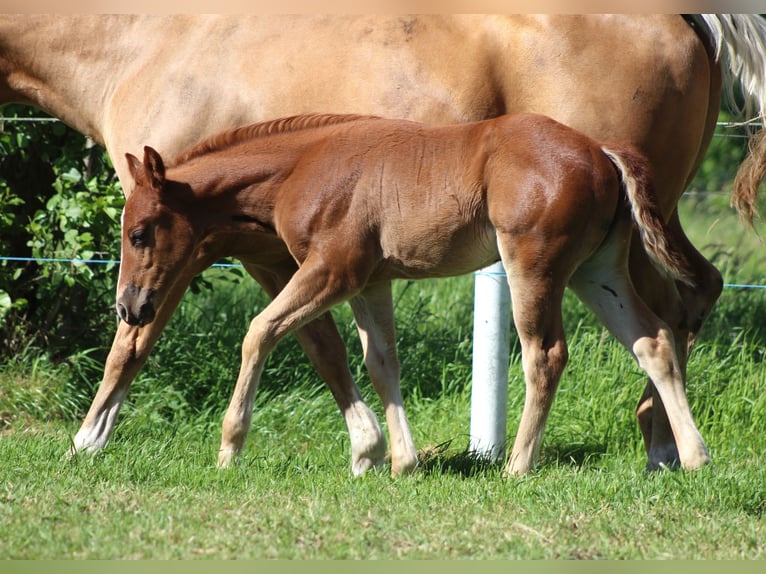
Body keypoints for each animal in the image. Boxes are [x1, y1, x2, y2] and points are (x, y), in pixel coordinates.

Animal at [115, 112, 711, 475]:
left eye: (139, 232)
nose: (129, 306)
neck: (304, 166)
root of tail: (602, 150)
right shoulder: (371, 281)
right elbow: (382, 362)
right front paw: (399, 462)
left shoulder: (333, 271)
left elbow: (258, 332)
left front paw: (229, 448)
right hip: (597, 272)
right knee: (653, 339)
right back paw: (694, 457)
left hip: (534, 267)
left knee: (546, 355)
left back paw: (518, 465)